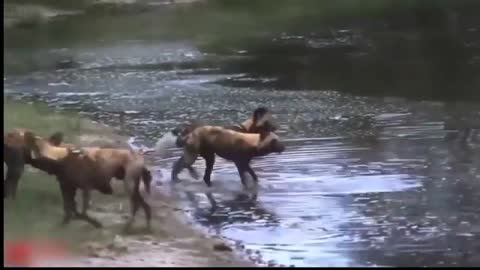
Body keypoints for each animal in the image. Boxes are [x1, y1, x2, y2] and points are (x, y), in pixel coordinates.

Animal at [21, 131, 150, 230]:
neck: (58, 158)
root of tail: (141, 159)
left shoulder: (84, 188)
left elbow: (80, 213)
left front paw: (96, 224)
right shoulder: (67, 187)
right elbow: (70, 209)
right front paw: (63, 225)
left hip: (129, 186)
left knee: (136, 205)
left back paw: (128, 227)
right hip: (133, 188)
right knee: (145, 206)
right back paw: (144, 227)